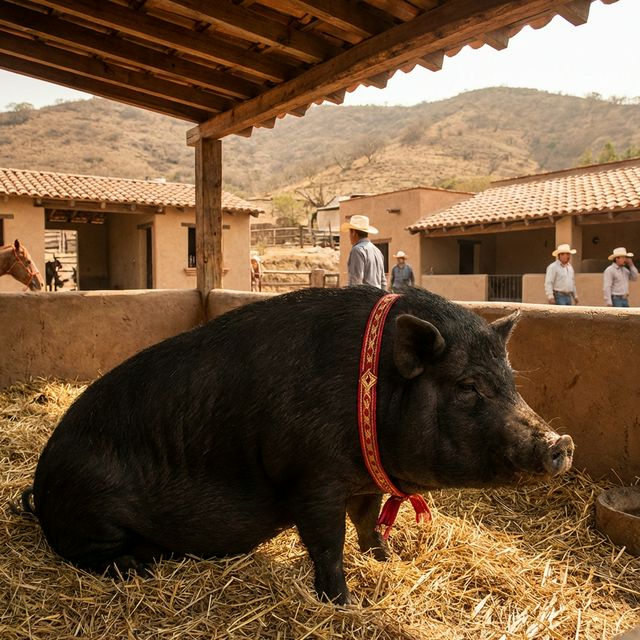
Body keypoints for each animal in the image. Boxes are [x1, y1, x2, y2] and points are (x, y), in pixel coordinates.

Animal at [25, 286, 573, 604]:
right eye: (468, 386)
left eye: (510, 381)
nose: (561, 442)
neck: (372, 391)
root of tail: (40, 483)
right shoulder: (311, 476)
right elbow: (327, 542)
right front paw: (344, 603)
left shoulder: (363, 480)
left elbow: (367, 522)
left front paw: (387, 561)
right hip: (93, 505)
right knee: (89, 552)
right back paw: (137, 568)